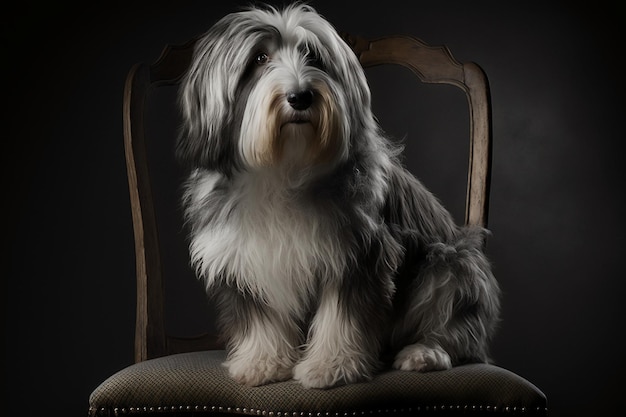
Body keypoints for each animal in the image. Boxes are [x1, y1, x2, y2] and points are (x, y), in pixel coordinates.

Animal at [174, 2, 498, 390]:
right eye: (259, 58)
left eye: (313, 56)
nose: (301, 96)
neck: (284, 169)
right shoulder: (243, 260)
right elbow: (261, 321)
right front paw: (262, 363)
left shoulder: (358, 254)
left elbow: (341, 320)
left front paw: (331, 367)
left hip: (448, 266)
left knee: (459, 335)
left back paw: (425, 353)